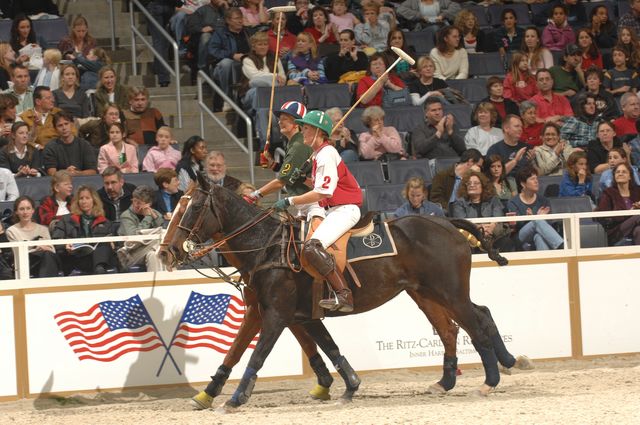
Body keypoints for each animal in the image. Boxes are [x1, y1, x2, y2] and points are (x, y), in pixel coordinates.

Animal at [160, 174, 528, 410]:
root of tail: (447, 223)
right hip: (425, 293)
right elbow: (240, 352)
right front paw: (207, 394)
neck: (266, 245)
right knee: (455, 327)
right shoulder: (271, 312)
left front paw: (237, 398)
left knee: (475, 322)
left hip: (449, 290)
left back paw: (491, 379)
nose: (166, 252)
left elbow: (256, 354)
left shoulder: (277, 314)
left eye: (194, 208)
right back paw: (453, 379)